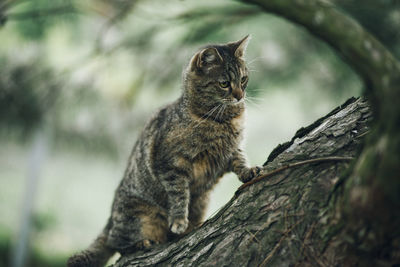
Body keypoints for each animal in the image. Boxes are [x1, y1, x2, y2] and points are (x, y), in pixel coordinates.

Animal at [68, 35, 262, 267]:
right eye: (224, 83)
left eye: (243, 79)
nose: (240, 96)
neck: (222, 118)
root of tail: (110, 219)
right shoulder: (172, 164)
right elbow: (179, 195)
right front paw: (179, 221)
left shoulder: (232, 150)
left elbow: (240, 161)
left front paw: (248, 171)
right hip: (139, 217)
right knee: (117, 243)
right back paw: (141, 243)